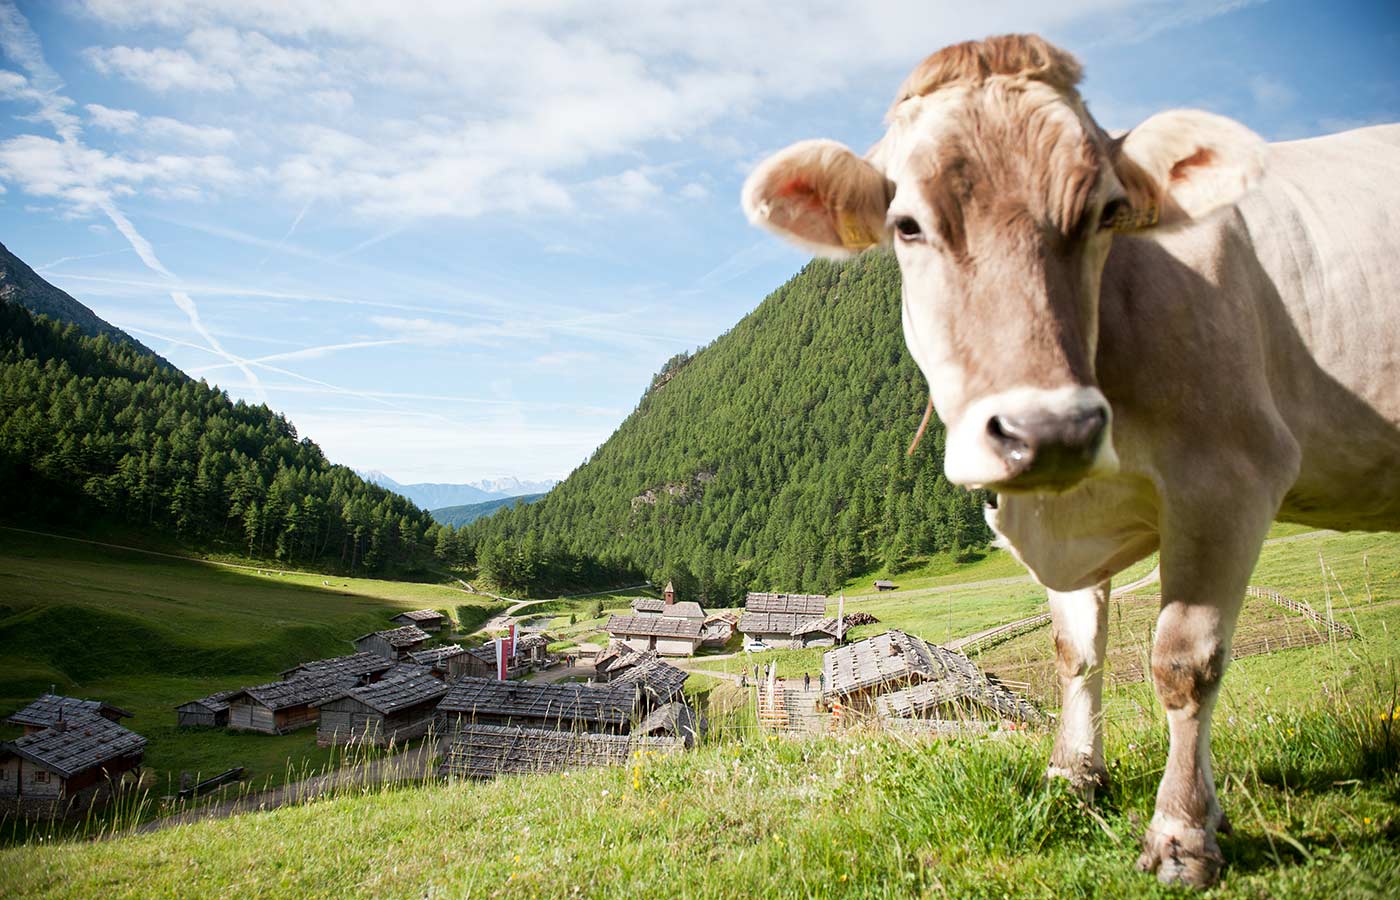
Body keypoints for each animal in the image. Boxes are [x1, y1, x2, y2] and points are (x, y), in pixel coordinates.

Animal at [744, 33, 1400, 884]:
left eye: (1106, 213)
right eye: (908, 225)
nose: (1049, 429)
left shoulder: (1230, 476)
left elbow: (1185, 661)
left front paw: (1183, 833)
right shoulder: (1063, 514)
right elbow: (1075, 651)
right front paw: (1074, 779)